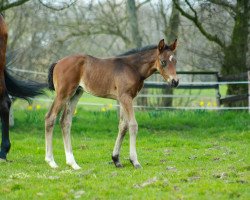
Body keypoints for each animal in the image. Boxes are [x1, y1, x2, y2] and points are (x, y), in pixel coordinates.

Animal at [44, 38, 178, 169]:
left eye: (175, 61)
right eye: (163, 61)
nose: (175, 81)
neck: (133, 68)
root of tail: (58, 62)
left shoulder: (125, 98)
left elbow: (123, 126)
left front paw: (116, 159)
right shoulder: (125, 97)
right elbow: (133, 125)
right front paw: (135, 161)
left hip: (76, 94)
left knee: (65, 122)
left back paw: (73, 163)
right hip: (63, 93)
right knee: (50, 117)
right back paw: (51, 161)